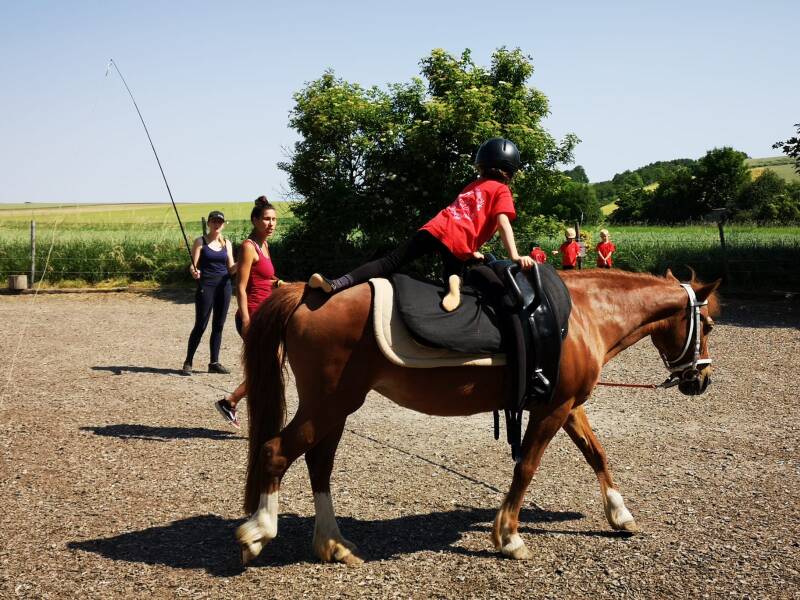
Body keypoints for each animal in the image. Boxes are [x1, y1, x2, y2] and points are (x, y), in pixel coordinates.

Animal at [235, 268, 720, 565]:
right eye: (710, 326)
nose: (701, 379)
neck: (583, 315)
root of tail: (306, 294)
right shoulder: (552, 408)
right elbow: (527, 467)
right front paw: (508, 536)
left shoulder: (566, 405)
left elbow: (596, 454)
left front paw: (620, 514)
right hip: (329, 405)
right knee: (276, 451)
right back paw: (259, 531)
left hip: (333, 408)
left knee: (319, 463)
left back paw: (332, 543)